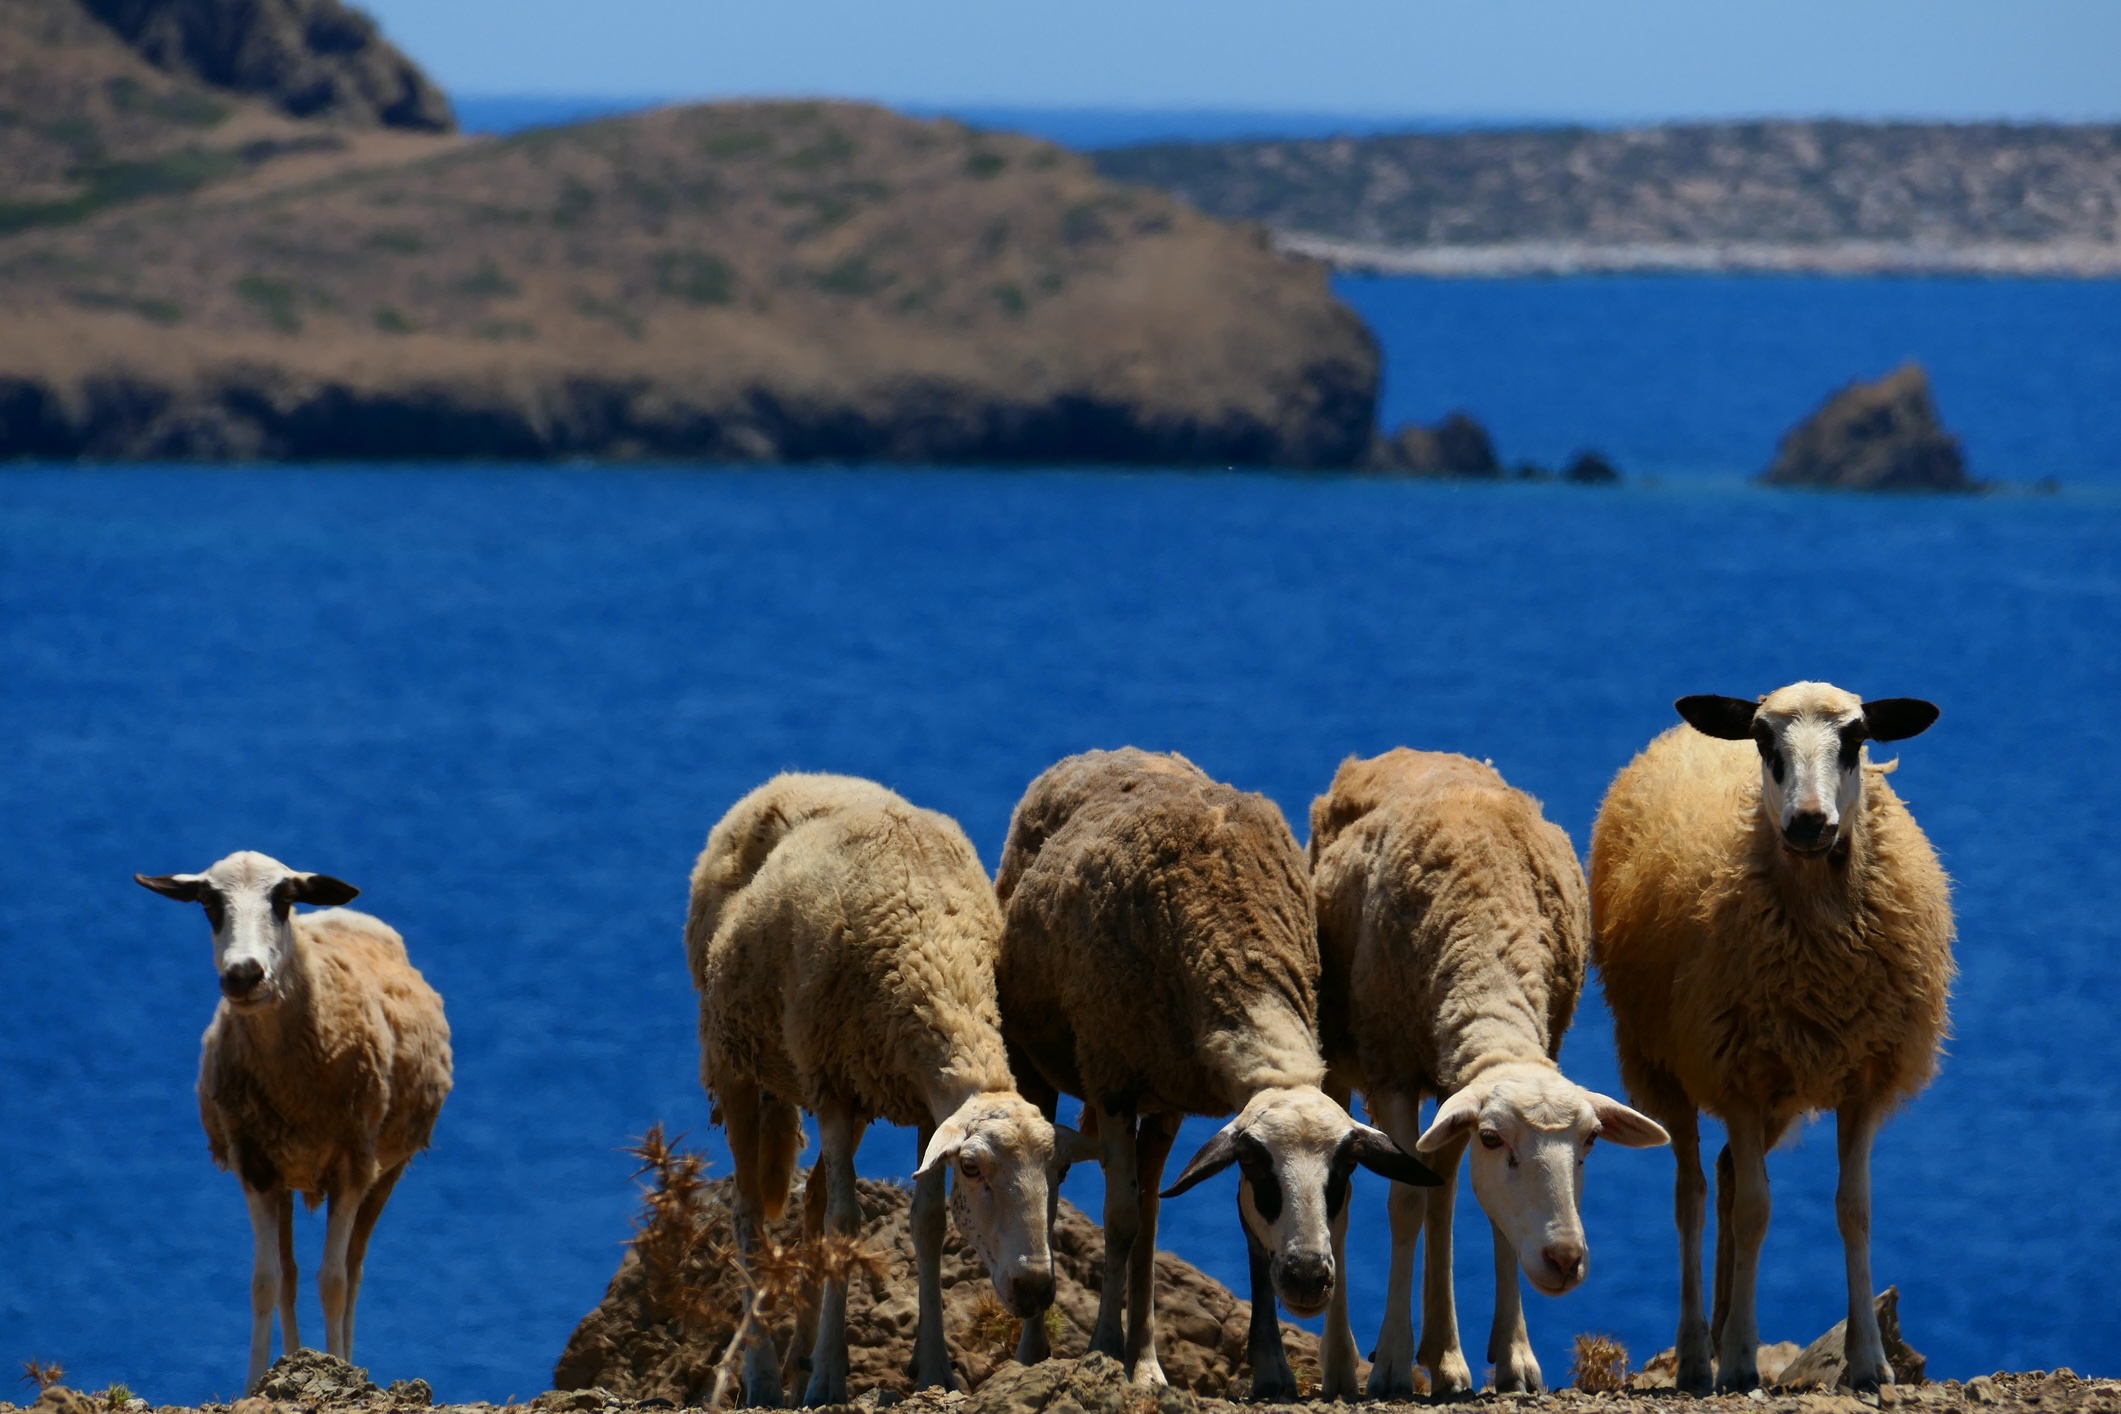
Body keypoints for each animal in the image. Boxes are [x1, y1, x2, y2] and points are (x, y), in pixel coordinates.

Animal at [132, 852, 456, 1390]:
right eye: (208, 904)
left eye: (283, 900)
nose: (243, 975)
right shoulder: (254, 1165)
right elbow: (266, 1282)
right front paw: (253, 1384)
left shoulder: (352, 1165)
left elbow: (334, 1282)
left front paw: (340, 1369)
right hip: (286, 1172)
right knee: (290, 1273)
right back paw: (292, 1357)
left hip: (386, 1169)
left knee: (354, 1270)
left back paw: (344, 1355)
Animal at [687, 780, 1094, 1407]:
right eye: (972, 1169)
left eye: (1059, 1171)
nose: (1033, 1289)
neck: (935, 956)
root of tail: (791, 778)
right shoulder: (833, 1087)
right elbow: (846, 1226)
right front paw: (830, 1377)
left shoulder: (923, 1105)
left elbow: (926, 1223)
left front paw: (934, 1367)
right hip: (734, 1055)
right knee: (749, 1216)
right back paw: (764, 1377)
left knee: (811, 1204)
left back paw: (798, 1359)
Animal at [996, 746, 1442, 1399]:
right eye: (1262, 1169)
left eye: (1343, 1172)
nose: (1307, 1278)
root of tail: (1100, 753)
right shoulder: (1111, 1079)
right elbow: (1118, 1221)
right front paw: (1102, 1347)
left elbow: (1237, 1233)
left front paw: (1272, 1367)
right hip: (1039, 1061)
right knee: (1073, 1193)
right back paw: (1037, 1350)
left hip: (1163, 1096)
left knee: (1151, 1207)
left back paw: (1147, 1362)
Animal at [1306, 746, 1671, 1399]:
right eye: (1496, 1140)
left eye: (1591, 1142)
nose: (1564, 1259)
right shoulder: (1392, 1071)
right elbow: (1404, 1203)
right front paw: (1392, 1361)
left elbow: (1486, 1215)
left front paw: (1514, 1357)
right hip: (1345, 1062)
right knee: (1348, 1203)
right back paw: (1345, 1362)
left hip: (1449, 1087)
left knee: (1443, 1189)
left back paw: (1445, 1355)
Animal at [1594, 686, 1951, 1390]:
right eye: (1762, 739)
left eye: (1857, 738)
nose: (1809, 823)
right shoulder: (1735, 1075)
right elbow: (1757, 1211)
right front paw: (1737, 1360)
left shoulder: (1864, 1078)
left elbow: (1854, 1208)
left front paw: (1869, 1360)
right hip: (1661, 1063)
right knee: (1694, 1193)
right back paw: (1699, 1353)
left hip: (1778, 1092)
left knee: (1729, 1176)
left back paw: (1724, 1324)